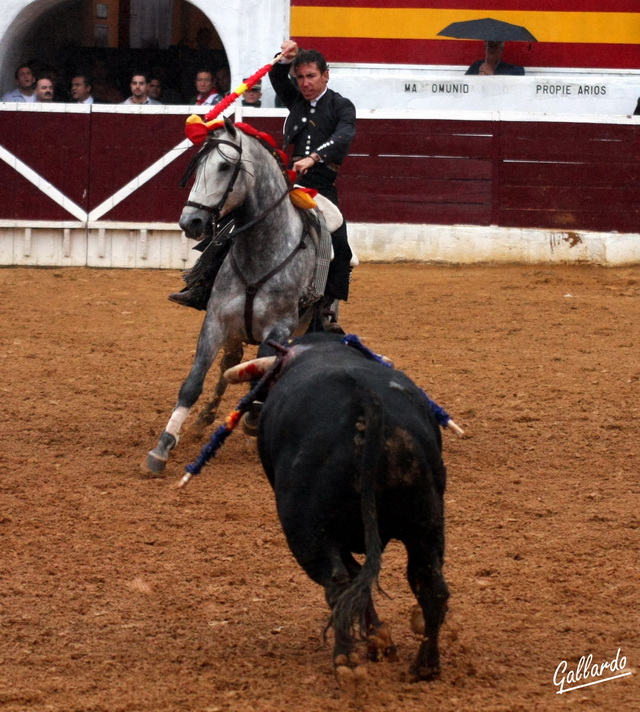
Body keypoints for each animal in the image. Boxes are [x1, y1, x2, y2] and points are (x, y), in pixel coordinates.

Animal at [146, 119, 324, 476]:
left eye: (225, 166)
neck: (261, 251)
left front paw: (254, 418)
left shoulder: (279, 328)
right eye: (197, 166)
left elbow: (261, 376)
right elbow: (193, 382)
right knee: (231, 362)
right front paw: (163, 445)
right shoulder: (215, 322)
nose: (190, 222)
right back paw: (204, 418)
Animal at [230, 336, 450, 688]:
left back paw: (346, 662)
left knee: (338, 585)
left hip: (307, 534)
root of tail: (366, 401)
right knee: (429, 585)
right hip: (426, 525)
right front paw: (380, 641)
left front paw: (376, 642)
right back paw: (424, 666)